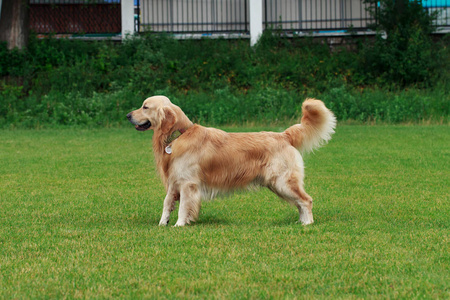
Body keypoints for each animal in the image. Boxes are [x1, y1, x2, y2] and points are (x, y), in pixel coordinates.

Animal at [126, 95, 334, 225]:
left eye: (145, 106)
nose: (128, 115)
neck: (179, 136)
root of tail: (284, 135)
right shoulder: (173, 182)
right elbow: (166, 204)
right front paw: (162, 224)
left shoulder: (188, 183)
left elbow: (184, 207)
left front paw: (179, 225)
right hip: (279, 184)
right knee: (300, 203)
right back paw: (301, 221)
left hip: (283, 181)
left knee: (306, 200)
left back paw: (307, 224)